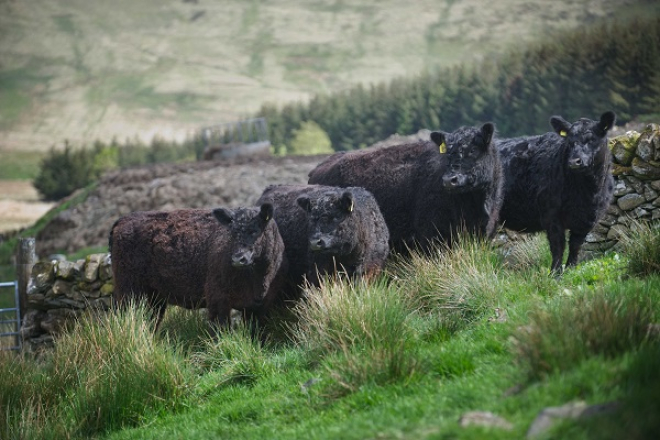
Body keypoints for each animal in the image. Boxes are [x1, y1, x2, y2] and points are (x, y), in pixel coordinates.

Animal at [108, 205, 286, 332]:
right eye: (232, 232)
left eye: (254, 230)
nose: (238, 258)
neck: (257, 280)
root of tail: (125, 219)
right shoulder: (217, 299)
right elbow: (221, 331)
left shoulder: (258, 307)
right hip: (129, 290)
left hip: (155, 296)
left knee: (151, 321)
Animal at [498, 111, 616, 272]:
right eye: (569, 141)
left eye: (591, 139)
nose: (574, 161)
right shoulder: (551, 216)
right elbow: (558, 247)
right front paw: (555, 273)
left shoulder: (587, 220)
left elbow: (575, 246)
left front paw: (572, 269)